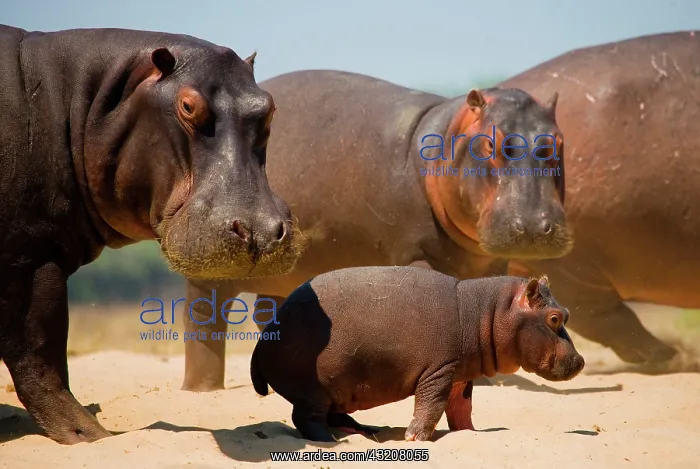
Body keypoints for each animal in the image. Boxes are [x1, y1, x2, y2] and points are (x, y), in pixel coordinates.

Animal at [0, 25, 301, 444]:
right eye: (187, 106)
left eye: (269, 107)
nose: (260, 231)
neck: (80, 101)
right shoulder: (30, 257)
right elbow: (40, 351)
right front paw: (91, 436)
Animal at [181, 70, 570, 392]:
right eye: (490, 143)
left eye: (559, 141)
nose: (534, 225)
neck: (446, 134)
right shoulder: (414, 257)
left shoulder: (491, 265)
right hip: (209, 268)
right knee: (204, 319)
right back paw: (202, 389)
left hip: (284, 275)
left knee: (270, 313)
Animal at [250, 266, 585, 442]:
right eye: (554, 318)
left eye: (568, 313)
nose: (581, 361)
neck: (486, 312)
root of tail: (264, 336)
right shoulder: (439, 371)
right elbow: (431, 406)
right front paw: (413, 438)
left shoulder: (459, 375)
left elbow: (461, 409)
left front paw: (471, 433)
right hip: (314, 391)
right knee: (306, 418)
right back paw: (331, 440)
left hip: (336, 390)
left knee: (332, 414)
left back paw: (363, 431)